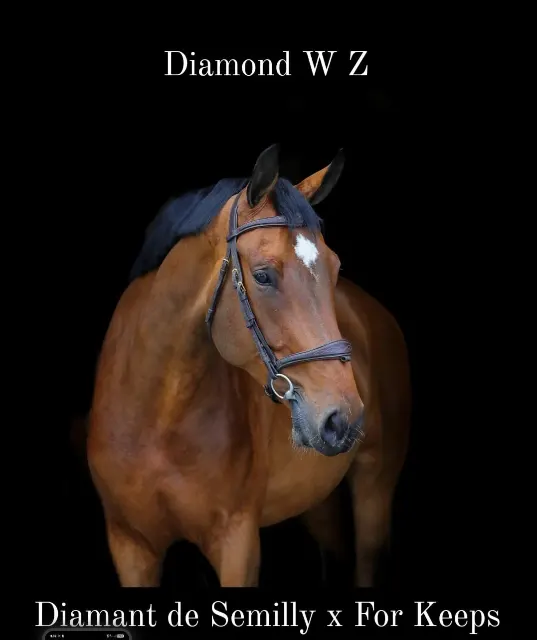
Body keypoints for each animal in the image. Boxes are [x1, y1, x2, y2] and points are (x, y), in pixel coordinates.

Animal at [86, 144, 411, 587]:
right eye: (262, 276)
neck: (157, 417)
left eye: (335, 269)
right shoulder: (130, 545)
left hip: (374, 485)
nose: (342, 418)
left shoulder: (237, 543)